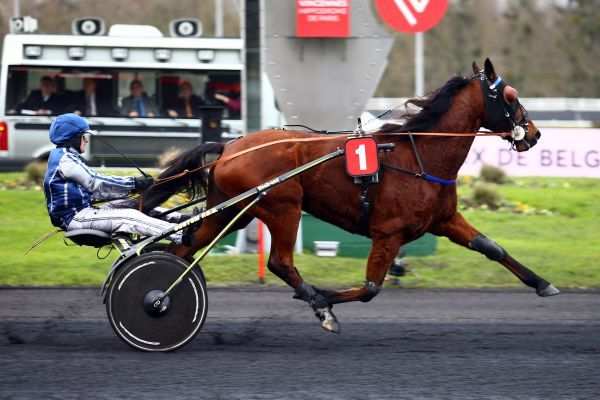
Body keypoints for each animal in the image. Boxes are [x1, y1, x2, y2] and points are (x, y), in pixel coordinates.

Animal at [141, 59, 558, 332]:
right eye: (509, 95)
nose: (534, 133)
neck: (419, 155)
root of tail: (229, 147)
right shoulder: (388, 233)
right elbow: (371, 288)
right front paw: (324, 299)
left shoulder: (444, 220)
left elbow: (492, 248)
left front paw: (543, 284)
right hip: (282, 206)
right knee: (280, 262)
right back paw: (315, 302)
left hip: (231, 212)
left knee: (185, 249)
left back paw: (162, 296)